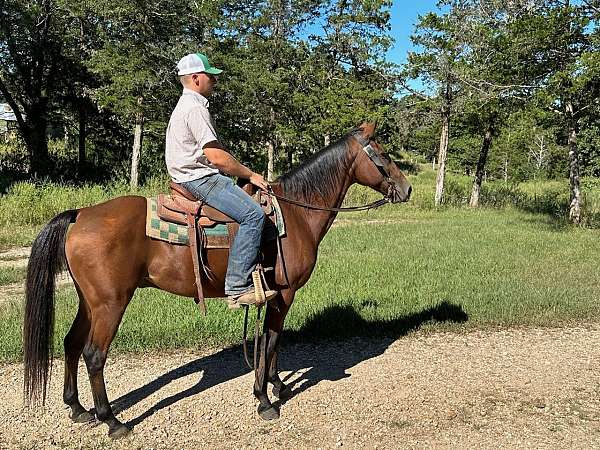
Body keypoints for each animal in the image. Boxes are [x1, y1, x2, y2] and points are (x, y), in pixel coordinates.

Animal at [21, 122, 410, 436]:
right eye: (383, 153)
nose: (406, 189)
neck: (295, 213)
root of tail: (80, 214)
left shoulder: (277, 295)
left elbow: (274, 342)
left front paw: (278, 385)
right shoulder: (284, 293)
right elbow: (270, 340)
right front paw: (265, 399)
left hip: (89, 301)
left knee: (71, 343)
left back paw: (78, 409)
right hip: (110, 304)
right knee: (94, 354)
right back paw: (112, 421)